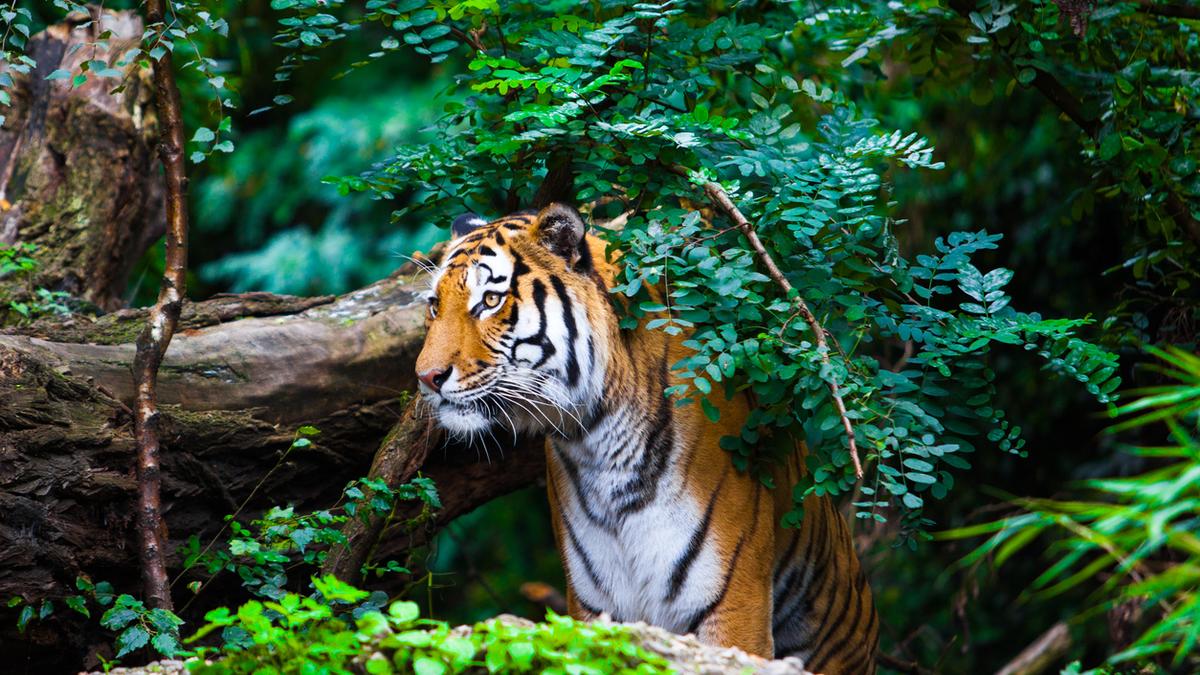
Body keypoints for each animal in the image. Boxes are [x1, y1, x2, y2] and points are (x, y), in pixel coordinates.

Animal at [414, 203, 879, 673]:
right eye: (435, 305)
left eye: (490, 301)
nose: (426, 378)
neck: (596, 442)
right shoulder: (595, 606)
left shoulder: (733, 605)